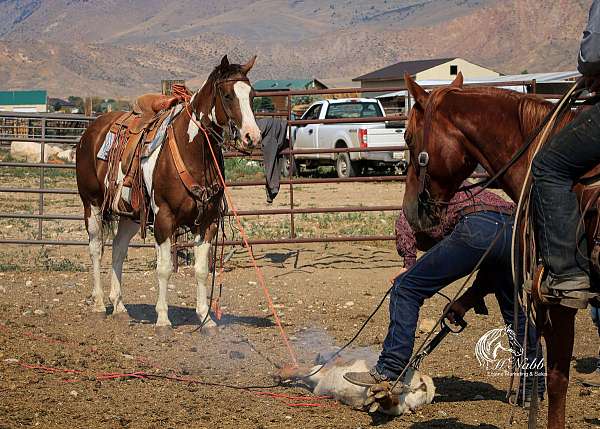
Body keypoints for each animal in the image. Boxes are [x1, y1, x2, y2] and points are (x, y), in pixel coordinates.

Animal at [75, 56, 260, 332]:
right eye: (227, 95)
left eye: (252, 95)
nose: (252, 136)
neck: (192, 151)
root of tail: (91, 130)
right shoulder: (164, 218)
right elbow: (163, 269)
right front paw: (162, 319)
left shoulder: (208, 222)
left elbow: (201, 269)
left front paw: (205, 319)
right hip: (92, 205)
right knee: (96, 247)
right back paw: (99, 304)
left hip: (131, 214)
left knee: (118, 248)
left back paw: (119, 306)